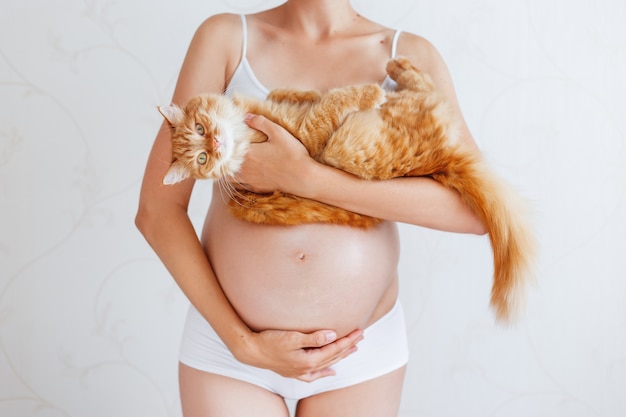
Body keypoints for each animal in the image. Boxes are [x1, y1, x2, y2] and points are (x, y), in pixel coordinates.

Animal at [158, 57, 532, 320]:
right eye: (202, 158)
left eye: (200, 128)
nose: (216, 144)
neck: (243, 135)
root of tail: (443, 160)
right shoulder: (307, 134)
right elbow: (333, 102)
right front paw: (363, 92)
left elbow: (294, 96)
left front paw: (303, 92)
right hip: (367, 134)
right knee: (431, 93)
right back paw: (394, 73)